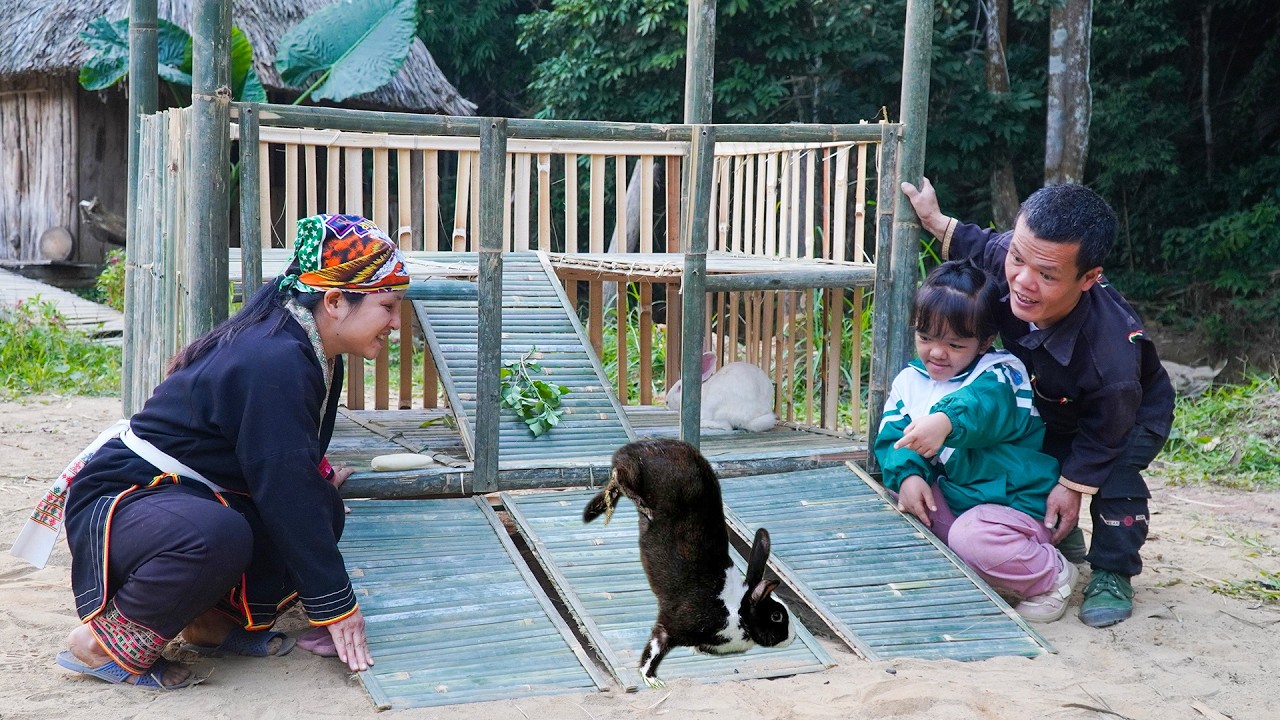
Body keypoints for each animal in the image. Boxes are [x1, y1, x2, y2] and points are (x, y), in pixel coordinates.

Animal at [582, 438, 794, 688]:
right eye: (776, 616)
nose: (792, 637)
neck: (737, 609)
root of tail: (635, 447)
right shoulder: (670, 628)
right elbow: (655, 650)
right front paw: (652, 680)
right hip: (636, 474)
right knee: (621, 477)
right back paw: (638, 505)